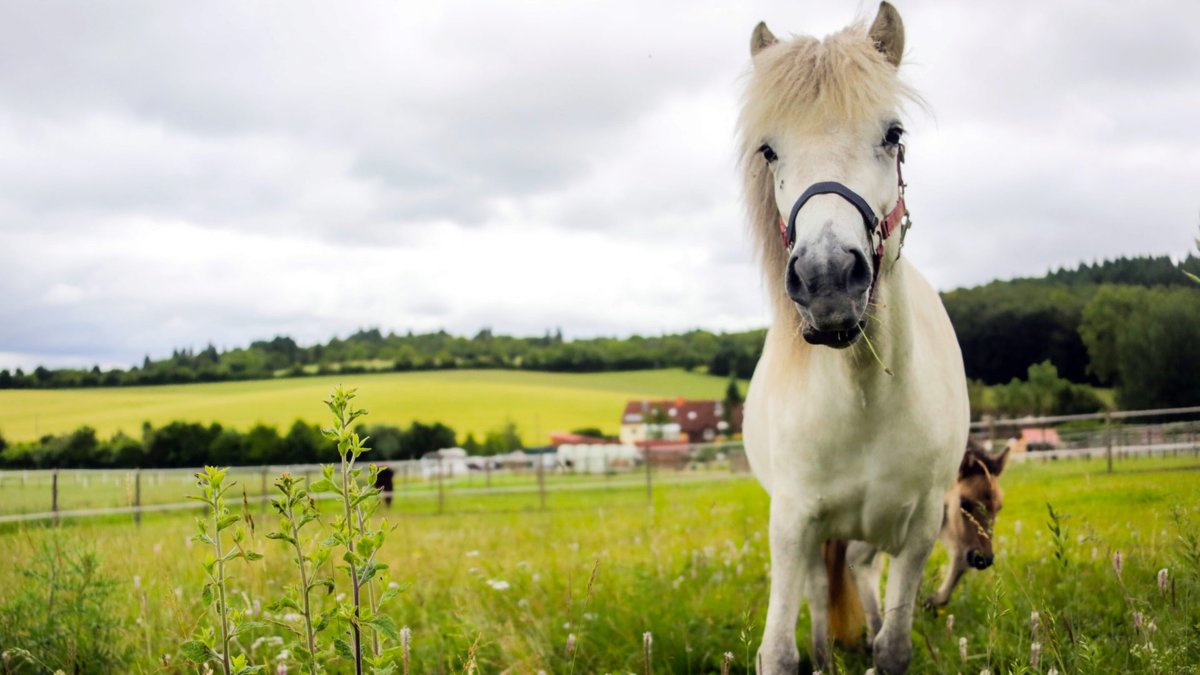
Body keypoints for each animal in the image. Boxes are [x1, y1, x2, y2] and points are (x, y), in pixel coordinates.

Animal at [734, 2, 969, 667]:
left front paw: (875, 643)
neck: (865, 398)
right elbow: (778, 654)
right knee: (820, 594)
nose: (828, 279)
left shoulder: (920, 530)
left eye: (893, 135)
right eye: (769, 150)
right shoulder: (792, 525)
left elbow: (893, 647)